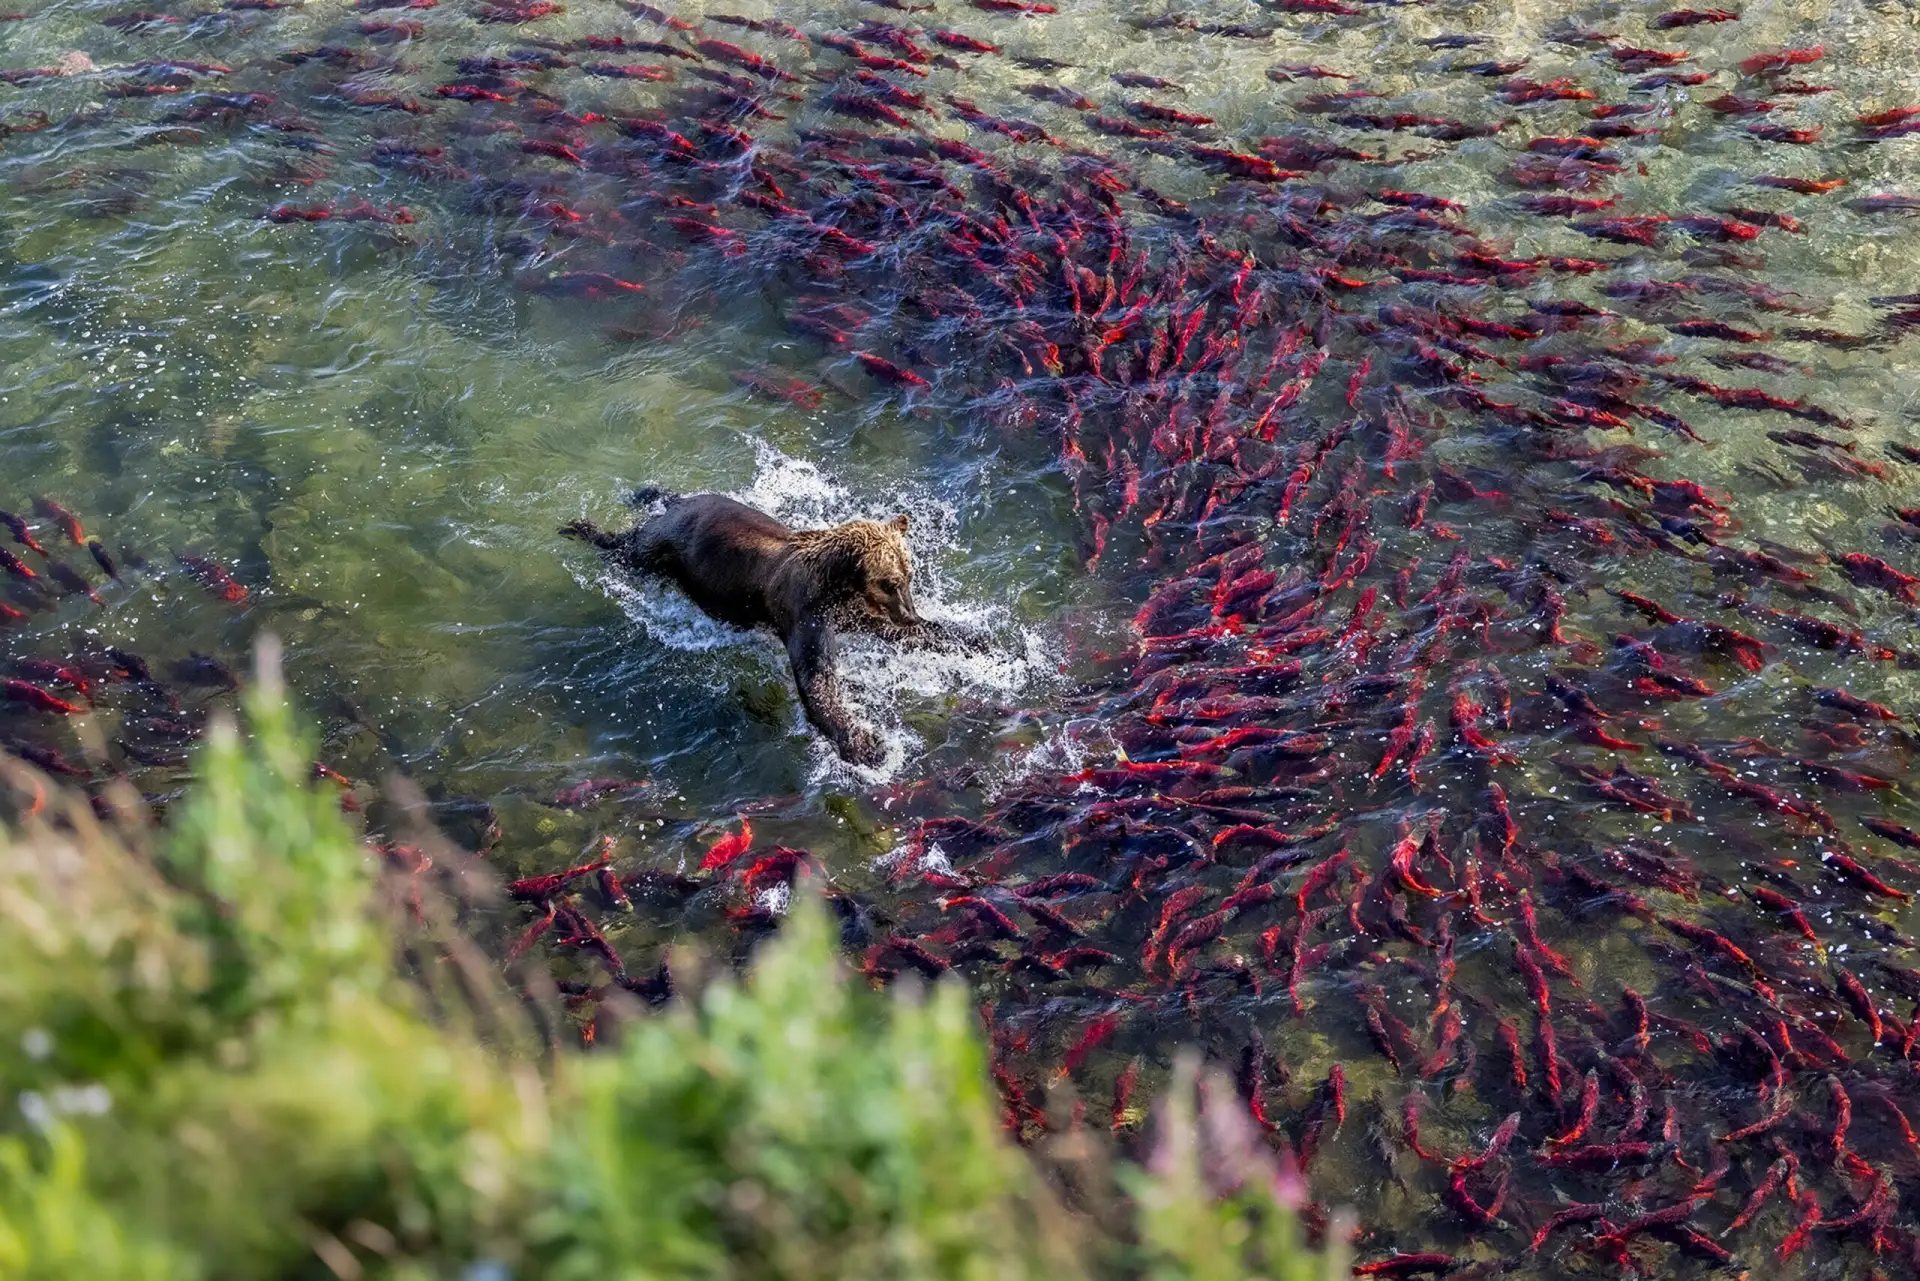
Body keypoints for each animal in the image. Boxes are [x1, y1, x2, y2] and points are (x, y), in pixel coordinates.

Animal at [561, 488, 982, 766]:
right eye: (890, 582)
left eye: (909, 576)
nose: (909, 611)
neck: (836, 587)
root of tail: (679, 505)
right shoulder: (804, 613)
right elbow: (817, 677)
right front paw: (865, 744)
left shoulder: (854, 612)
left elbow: (904, 634)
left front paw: (975, 640)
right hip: (663, 546)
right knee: (629, 549)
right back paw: (582, 528)